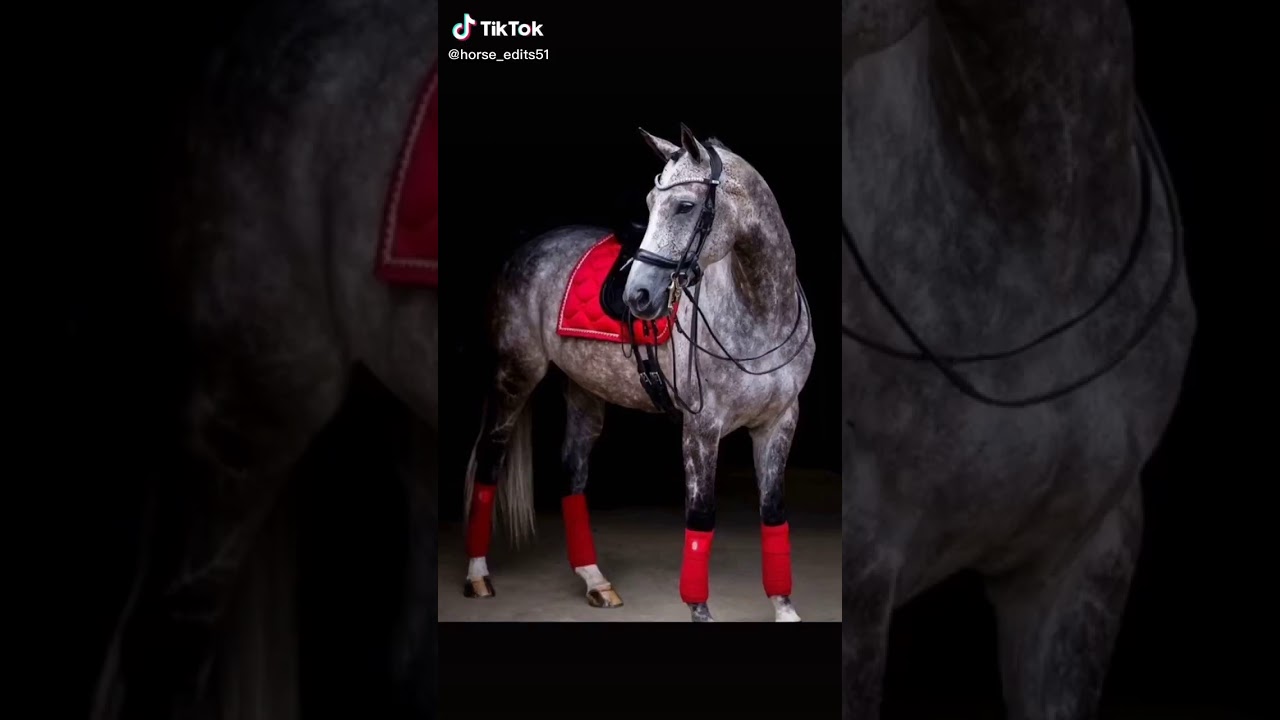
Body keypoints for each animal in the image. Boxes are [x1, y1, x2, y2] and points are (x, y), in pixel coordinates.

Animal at [460, 125, 816, 623]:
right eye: (650, 203)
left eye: (685, 206)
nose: (638, 296)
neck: (761, 314)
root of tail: (526, 248)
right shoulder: (701, 428)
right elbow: (700, 517)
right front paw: (699, 609)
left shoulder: (779, 422)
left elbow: (773, 511)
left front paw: (784, 608)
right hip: (516, 376)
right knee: (490, 461)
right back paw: (477, 575)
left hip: (584, 390)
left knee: (572, 473)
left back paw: (595, 581)